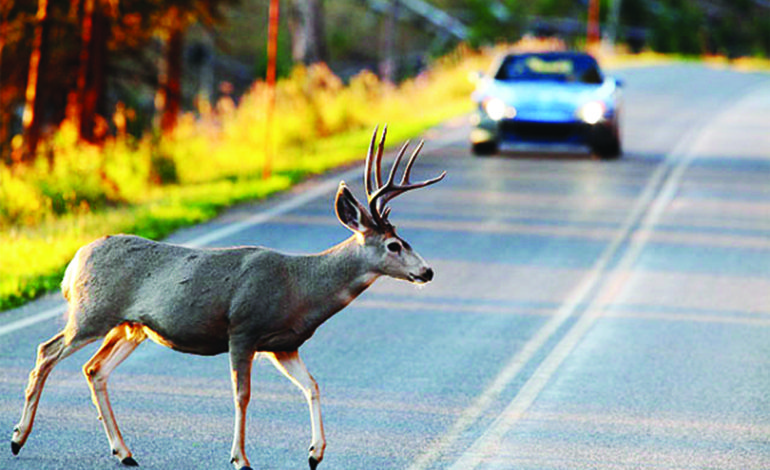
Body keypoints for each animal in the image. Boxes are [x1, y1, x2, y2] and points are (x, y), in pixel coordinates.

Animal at [10, 126, 444, 470]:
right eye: (393, 245)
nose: (427, 272)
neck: (301, 288)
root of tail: (73, 264)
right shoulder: (243, 329)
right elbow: (242, 395)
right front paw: (240, 458)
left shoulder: (283, 345)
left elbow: (313, 386)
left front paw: (315, 453)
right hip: (92, 312)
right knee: (47, 352)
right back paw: (18, 438)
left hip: (132, 326)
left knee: (94, 369)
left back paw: (125, 452)